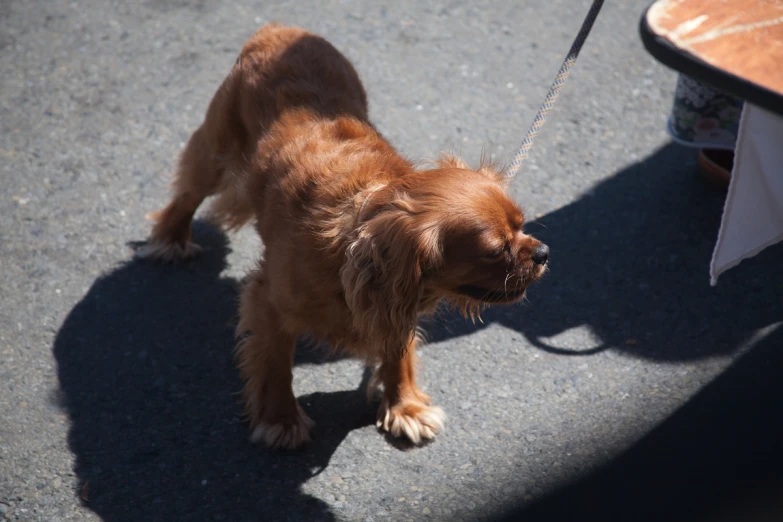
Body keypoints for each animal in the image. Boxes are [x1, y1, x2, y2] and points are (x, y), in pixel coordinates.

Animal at [141, 24, 548, 446]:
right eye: (495, 250)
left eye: (522, 226)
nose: (543, 253)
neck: (358, 228)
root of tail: (278, 28)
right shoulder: (268, 302)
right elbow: (275, 363)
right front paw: (281, 420)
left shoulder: (394, 301)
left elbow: (397, 353)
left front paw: (405, 406)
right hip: (217, 148)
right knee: (189, 191)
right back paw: (172, 237)